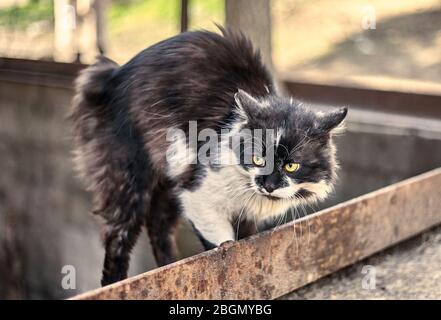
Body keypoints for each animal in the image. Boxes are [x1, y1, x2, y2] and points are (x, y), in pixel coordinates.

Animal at [71, 27, 348, 286]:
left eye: (291, 166)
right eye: (258, 159)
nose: (268, 186)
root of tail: (111, 75)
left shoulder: (242, 213)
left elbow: (248, 239)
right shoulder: (197, 194)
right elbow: (222, 244)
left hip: (169, 182)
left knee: (158, 227)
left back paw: (169, 266)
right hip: (130, 180)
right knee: (118, 240)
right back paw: (115, 283)